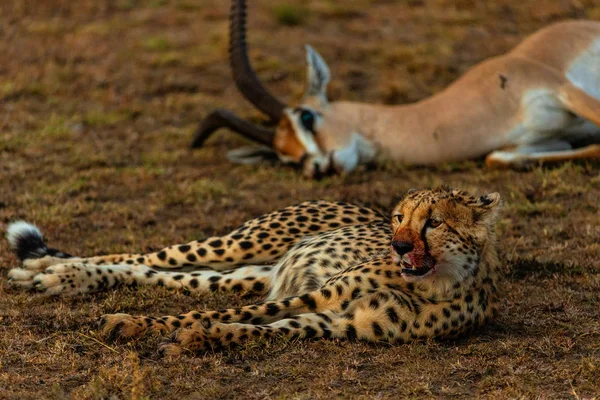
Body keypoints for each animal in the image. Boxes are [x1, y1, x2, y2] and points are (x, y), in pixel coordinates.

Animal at [5, 186, 502, 354]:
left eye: (433, 222)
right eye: (401, 217)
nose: (396, 243)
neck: (432, 281)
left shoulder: (340, 321)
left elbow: (254, 327)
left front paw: (198, 340)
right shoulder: (322, 294)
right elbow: (219, 314)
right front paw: (134, 324)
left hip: (247, 272)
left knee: (161, 276)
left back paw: (58, 275)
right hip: (242, 243)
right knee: (146, 258)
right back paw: (49, 267)